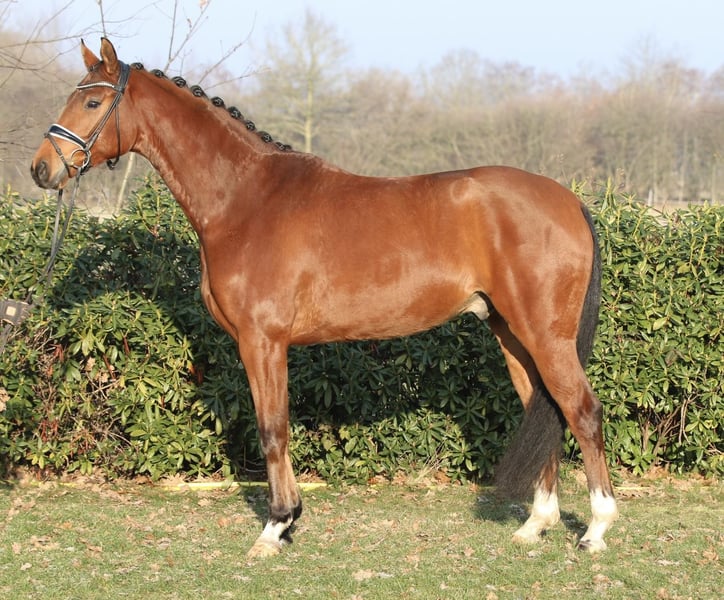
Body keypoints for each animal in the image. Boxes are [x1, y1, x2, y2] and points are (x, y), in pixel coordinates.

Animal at [30, 38, 618, 558]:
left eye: (92, 102)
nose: (43, 168)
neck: (245, 200)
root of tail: (567, 200)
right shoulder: (267, 345)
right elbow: (280, 428)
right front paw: (289, 521)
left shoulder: (262, 341)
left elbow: (272, 429)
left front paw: (275, 527)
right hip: (512, 335)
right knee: (545, 409)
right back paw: (536, 525)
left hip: (545, 335)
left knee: (582, 410)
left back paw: (596, 530)